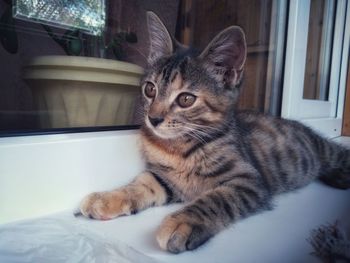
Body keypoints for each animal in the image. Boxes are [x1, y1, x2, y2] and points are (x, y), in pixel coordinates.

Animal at [80, 11, 350, 254]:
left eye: (186, 99)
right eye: (150, 89)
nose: (153, 118)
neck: (179, 148)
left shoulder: (249, 181)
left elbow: (216, 199)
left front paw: (183, 222)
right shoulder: (168, 179)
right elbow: (142, 183)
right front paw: (108, 197)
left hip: (324, 151)